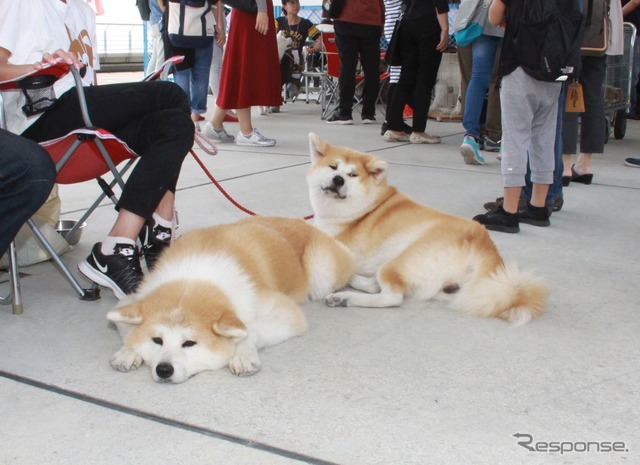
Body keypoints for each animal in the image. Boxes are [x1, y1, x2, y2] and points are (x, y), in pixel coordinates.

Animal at [107, 216, 352, 382]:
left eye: (189, 343)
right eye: (157, 340)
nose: (164, 369)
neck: (194, 278)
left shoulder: (285, 310)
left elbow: (250, 329)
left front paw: (241, 353)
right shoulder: (131, 299)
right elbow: (127, 329)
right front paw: (128, 351)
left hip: (322, 271)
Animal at [308, 132, 548, 324]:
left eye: (352, 175)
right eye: (333, 167)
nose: (337, 180)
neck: (365, 207)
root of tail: (485, 247)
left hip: (401, 261)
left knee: (391, 296)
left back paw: (345, 297)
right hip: (445, 288)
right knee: (375, 284)